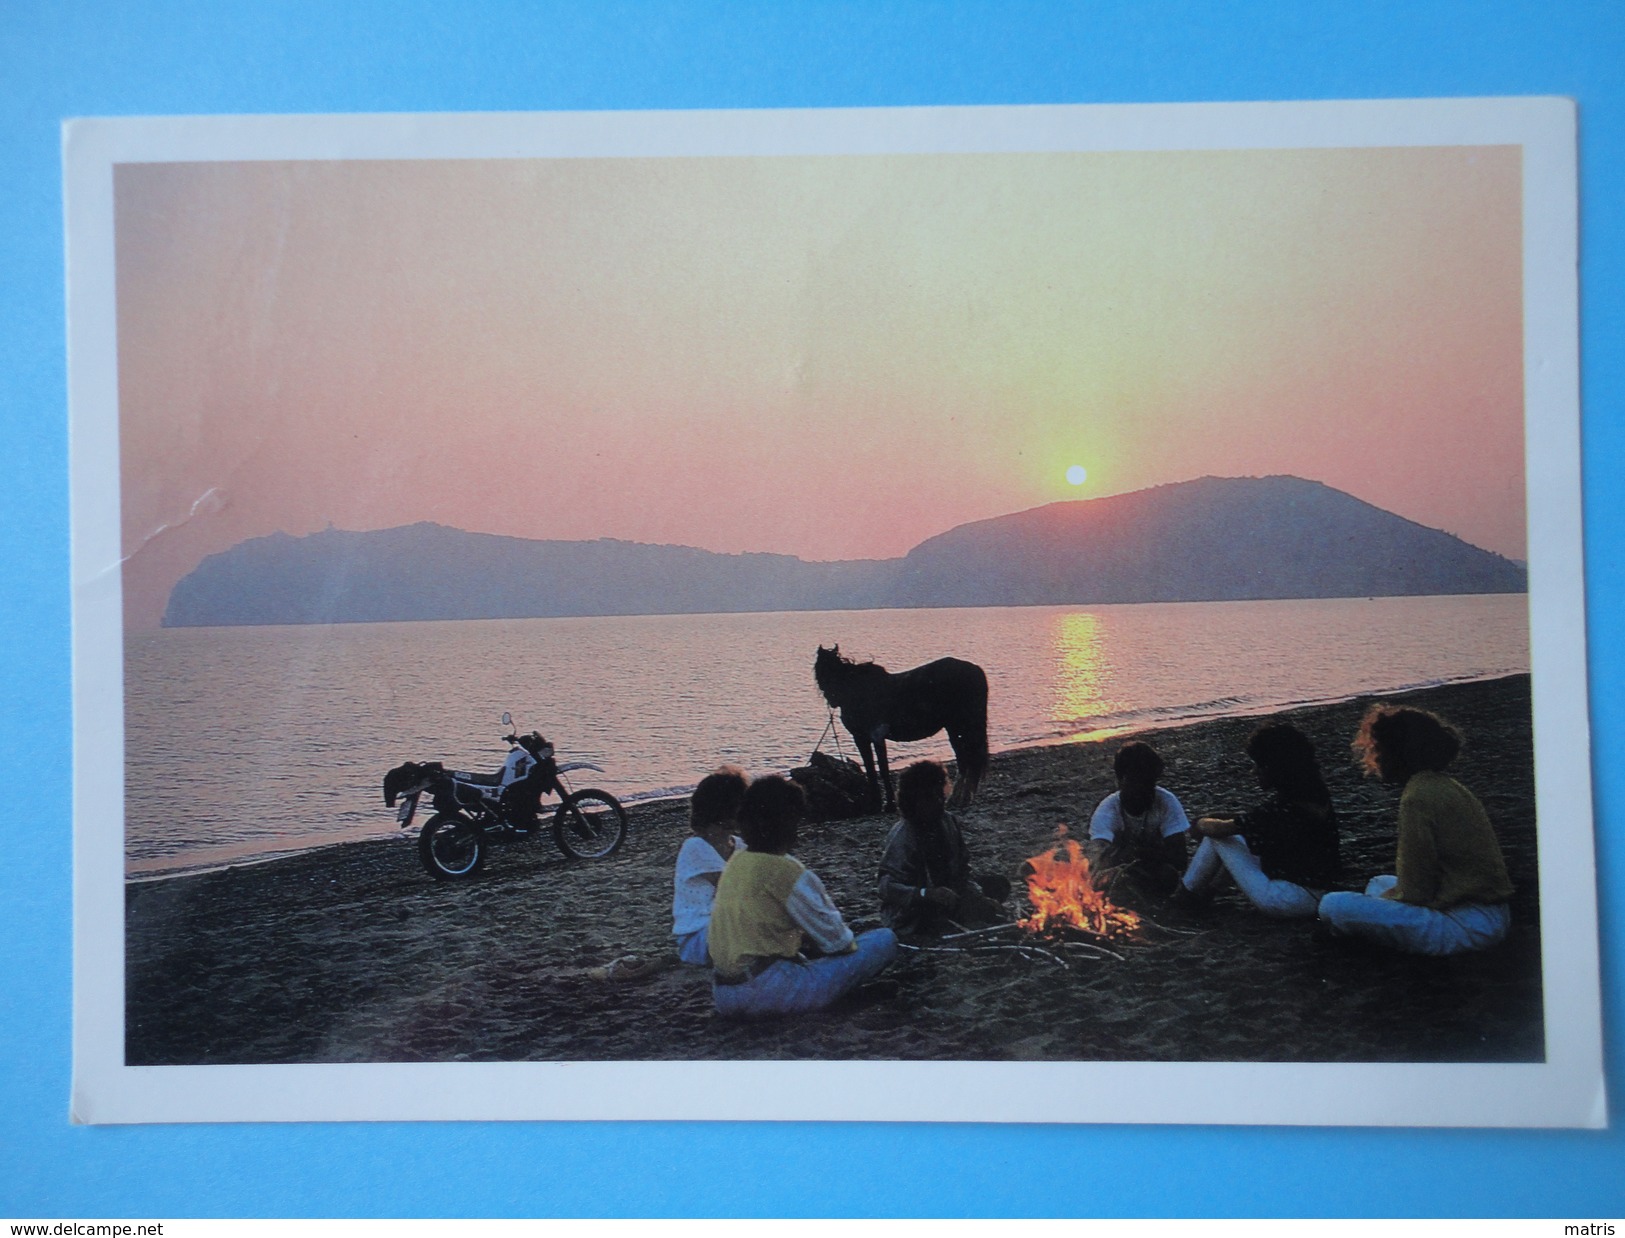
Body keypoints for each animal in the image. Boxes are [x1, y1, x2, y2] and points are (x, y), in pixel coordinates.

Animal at [812, 640, 988, 815]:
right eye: (820, 668)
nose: (831, 698)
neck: (858, 691)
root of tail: (974, 670)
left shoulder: (872, 736)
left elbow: (880, 769)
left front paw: (886, 805)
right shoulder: (864, 738)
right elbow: (872, 769)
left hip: (958, 727)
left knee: (966, 760)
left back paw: (956, 799)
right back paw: (963, 798)